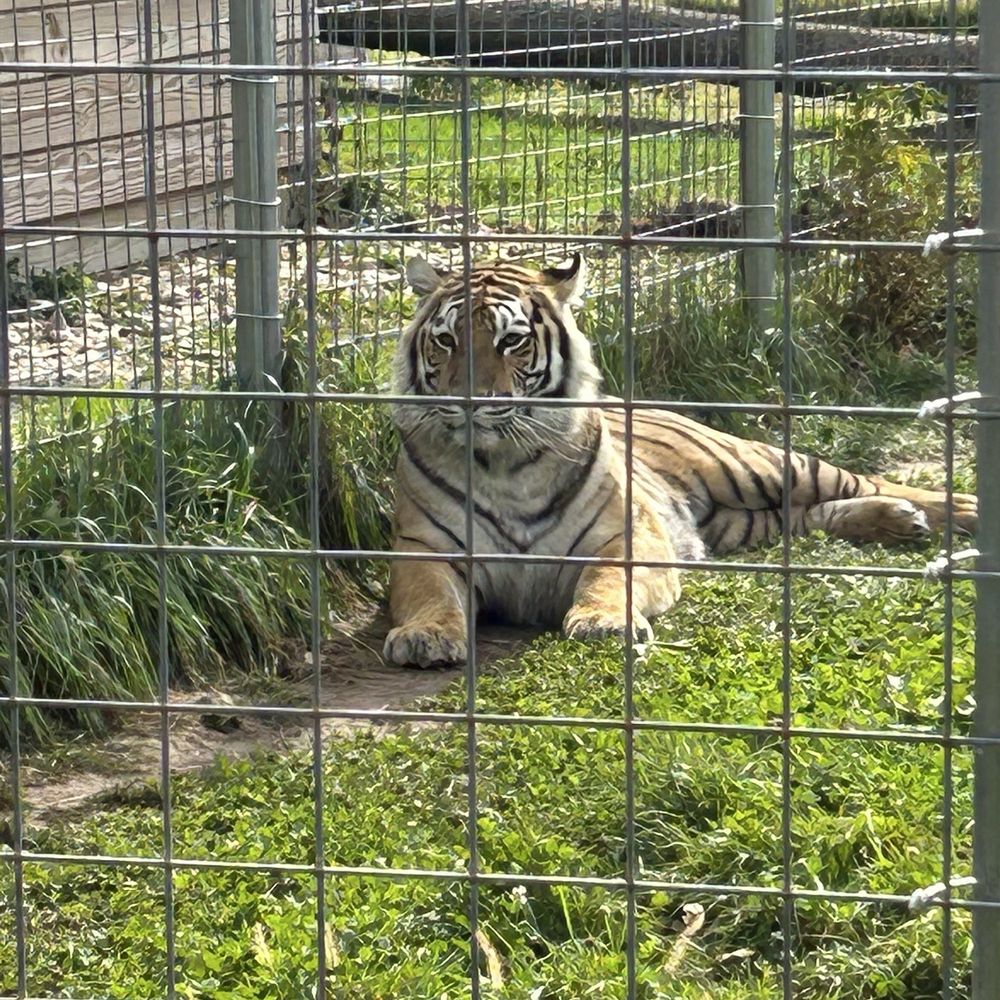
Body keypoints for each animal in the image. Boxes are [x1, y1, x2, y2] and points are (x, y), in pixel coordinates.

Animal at [383, 253, 978, 668]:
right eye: (446, 340)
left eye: (511, 341)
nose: (467, 401)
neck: (503, 463)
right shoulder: (423, 548)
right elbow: (430, 594)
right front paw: (424, 636)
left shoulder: (627, 539)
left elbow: (606, 581)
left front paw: (602, 622)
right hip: (738, 522)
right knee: (805, 516)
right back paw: (899, 522)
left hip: (752, 465)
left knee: (856, 480)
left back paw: (953, 509)